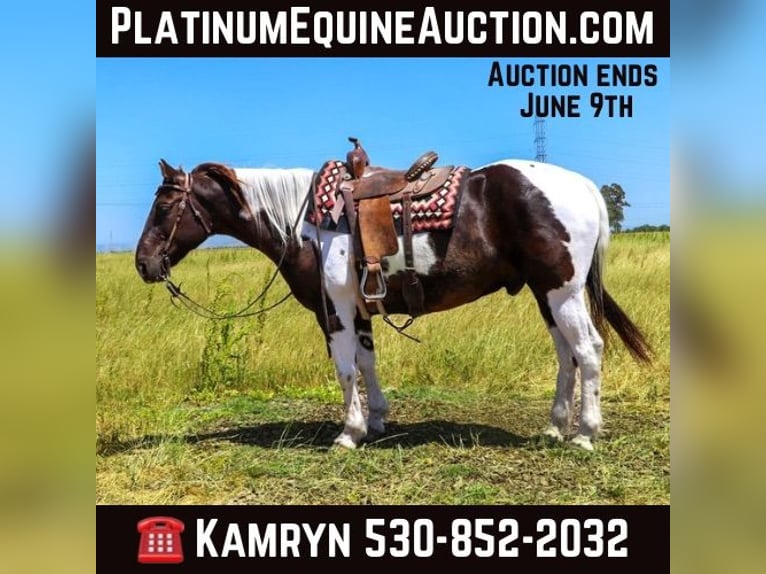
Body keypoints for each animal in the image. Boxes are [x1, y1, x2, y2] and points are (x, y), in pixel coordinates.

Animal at [134, 149, 652, 451]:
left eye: (163, 207)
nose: (143, 264)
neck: (303, 223)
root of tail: (582, 185)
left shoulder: (335, 311)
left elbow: (345, 370)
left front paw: (349, 433)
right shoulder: (359, 310)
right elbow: (367, 364)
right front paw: (377, 420)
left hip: (562, 291)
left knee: (588, 350)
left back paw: (584, 434)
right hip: (546, 293)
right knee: (566, 354)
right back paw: (554, 427)